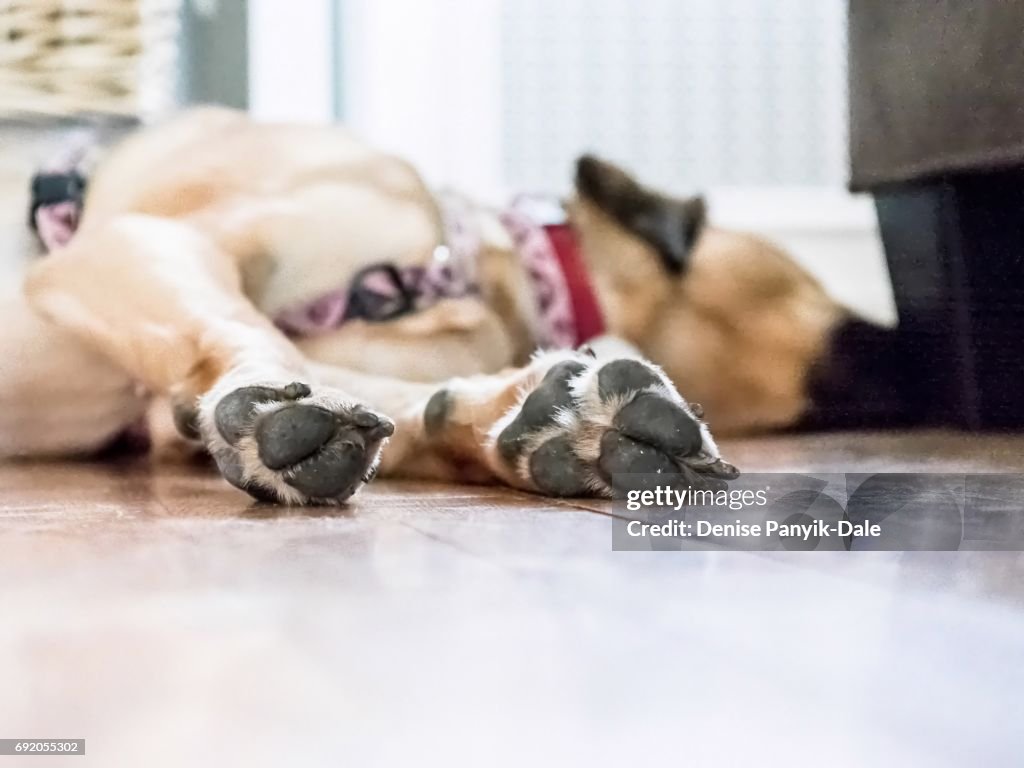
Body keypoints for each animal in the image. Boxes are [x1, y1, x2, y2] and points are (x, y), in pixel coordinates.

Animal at [4, 108, 892, 505]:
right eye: (820, 296)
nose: (898, 337)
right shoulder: (138, 241)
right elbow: (256, 344)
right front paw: (272, 412)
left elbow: (399, 403)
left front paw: (527, 424)